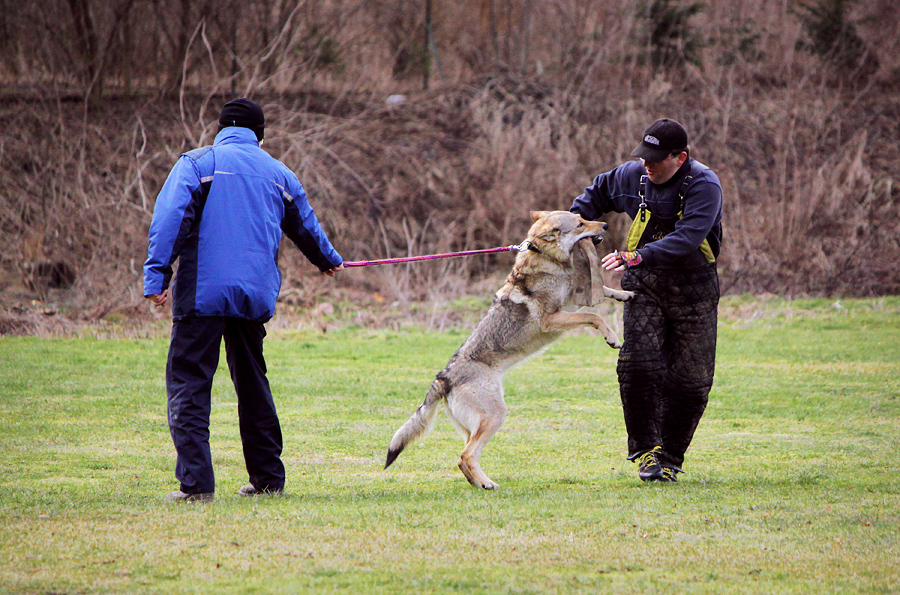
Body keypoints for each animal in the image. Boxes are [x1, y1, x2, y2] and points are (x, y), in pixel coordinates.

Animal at [384, 212, 632, 492]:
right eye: (580, 224)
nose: (606, 225)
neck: (546, 259)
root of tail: (443, 378)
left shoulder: (570, 302)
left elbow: (603, 294)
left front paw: (625, 294)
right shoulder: (553, 318)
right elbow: (594, 315)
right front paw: (612, 337)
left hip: (476, 425)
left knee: (462, 459)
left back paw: (481, 484)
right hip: (495, 416)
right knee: (466, 455)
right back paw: (488, 484)